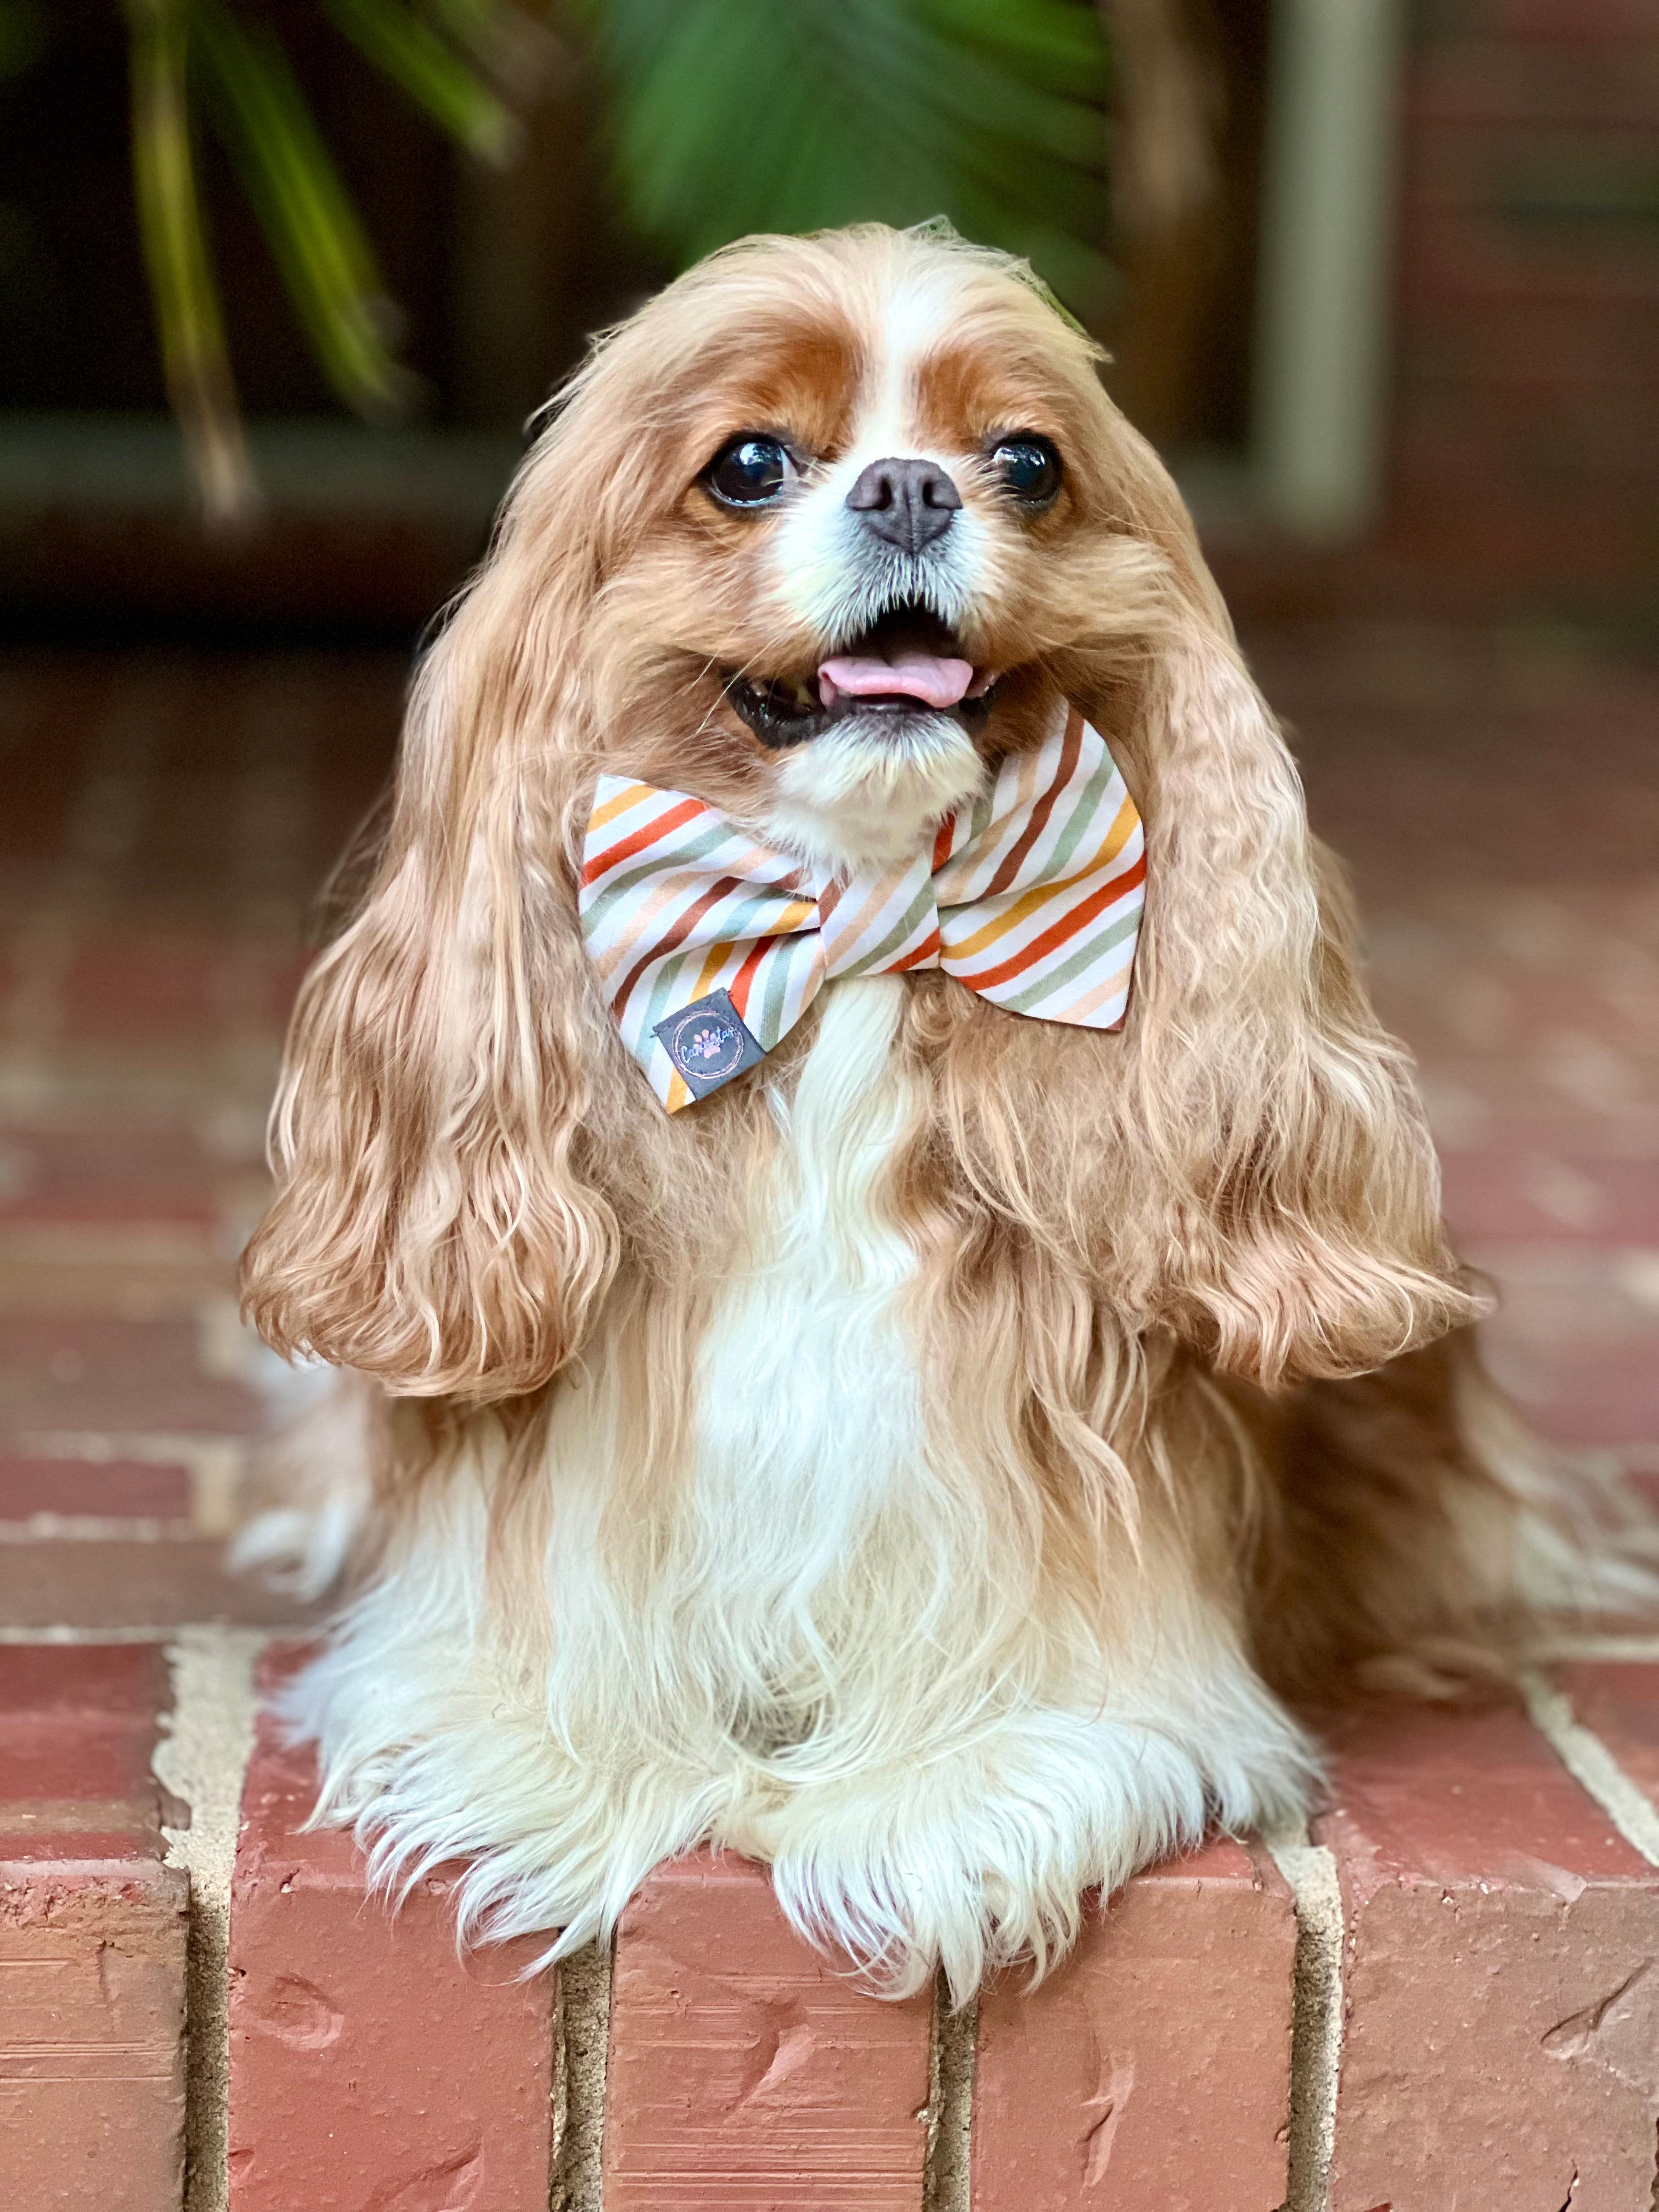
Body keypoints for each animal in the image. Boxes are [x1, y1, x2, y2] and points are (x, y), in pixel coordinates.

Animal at [236, 224, 1654, 2008]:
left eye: (1028, 463)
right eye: (749, 464)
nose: (913, 488)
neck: (857, 931)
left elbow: (1049, 1712)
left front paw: (911, 1804)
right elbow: (521, 1670)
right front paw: (582, 1771)